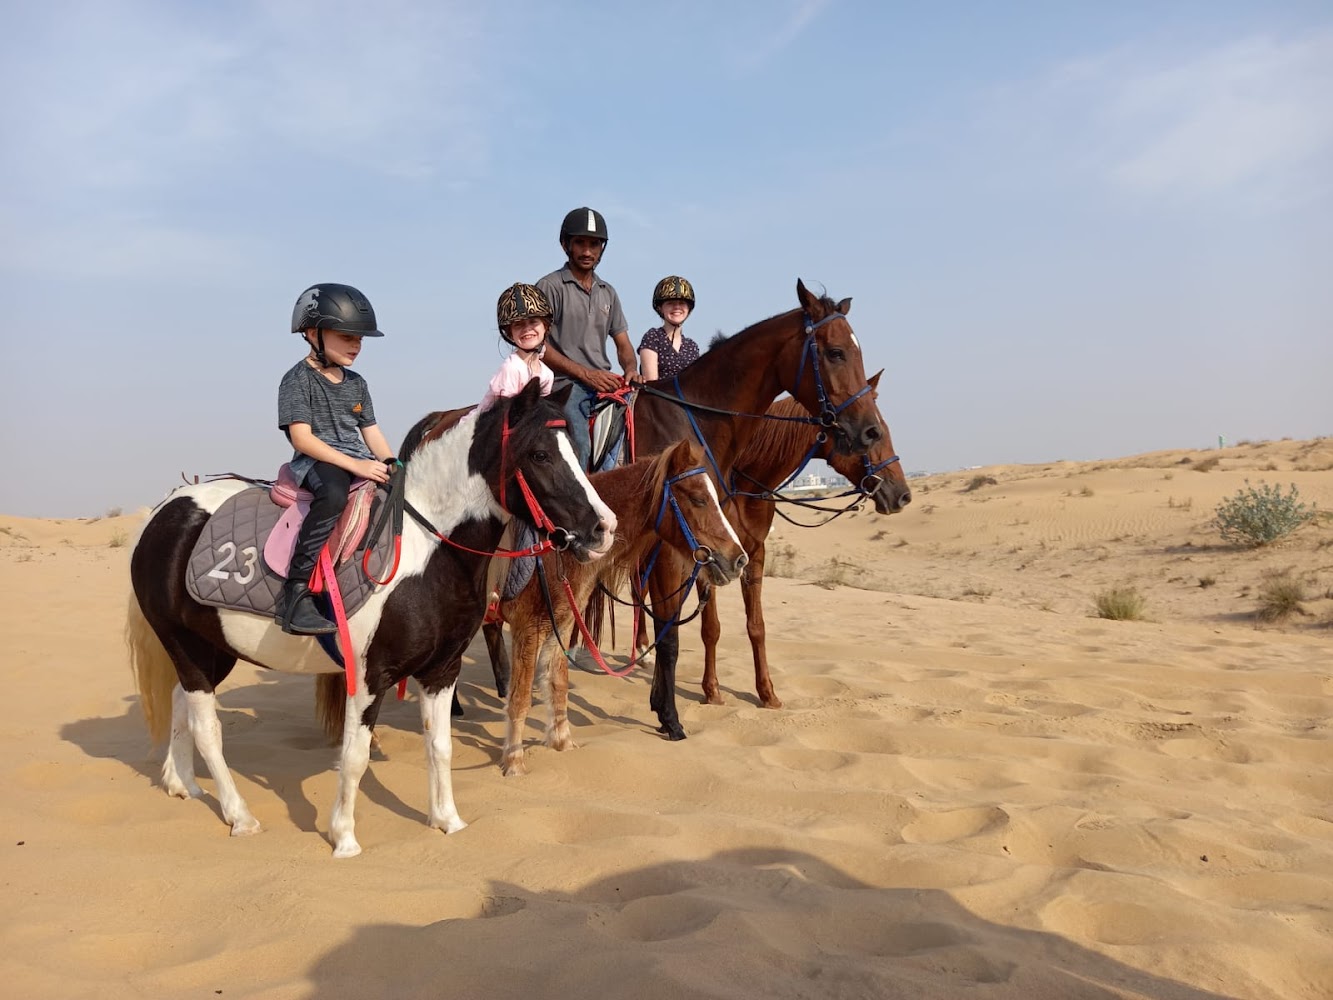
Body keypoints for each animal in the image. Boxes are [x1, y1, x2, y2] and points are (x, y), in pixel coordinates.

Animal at [125, 381, 616, 858]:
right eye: (539, 454)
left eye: (576, 447)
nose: (603, 528)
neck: (427, 545)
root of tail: (165, 510)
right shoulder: (369, 676)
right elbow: (355, 757)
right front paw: (344, 838)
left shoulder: (442, 671)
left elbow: (439, 746)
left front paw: (447, 821)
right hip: (184, 644)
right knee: (206, 728)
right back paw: (239, 816)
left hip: (214, 648)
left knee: (181, 702)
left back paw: (183, 784)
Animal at [313, 439, 749, 776]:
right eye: (697, 499)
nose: (739, 559)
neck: (560, 549)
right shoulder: (530, 627)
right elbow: (521, 695)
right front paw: (514, 760)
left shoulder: (561, 623)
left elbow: (558, 683)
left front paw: (562, 742)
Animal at [698, 376, 911, 709]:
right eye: (874, 434)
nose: (903, 495)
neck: (740, 485)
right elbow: (711, 628)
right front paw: (712, 690)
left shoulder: (754, 555)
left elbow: (756, 626)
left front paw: (767, 693)